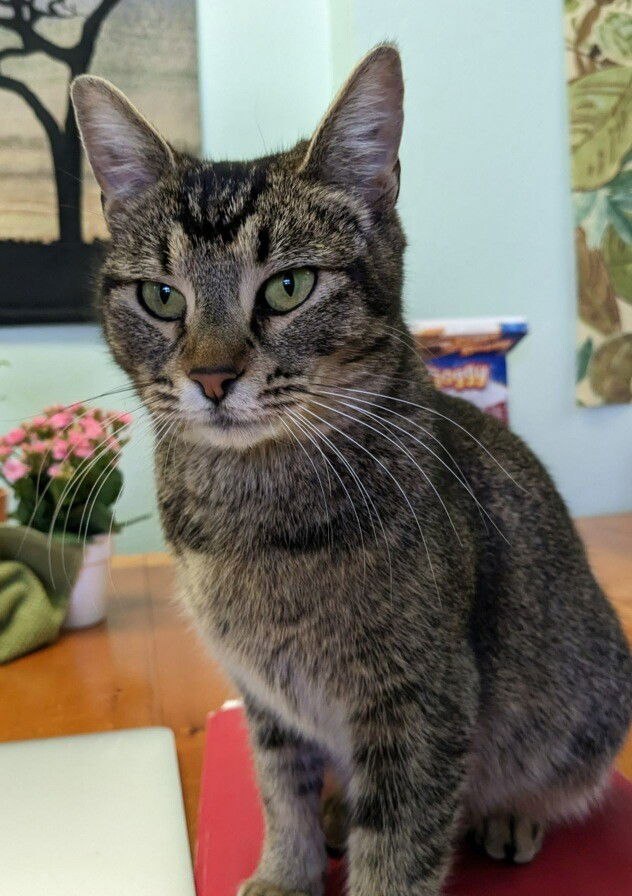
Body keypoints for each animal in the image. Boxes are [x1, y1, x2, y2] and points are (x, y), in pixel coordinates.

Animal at [71, 47, 628, 896]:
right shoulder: (266, 698)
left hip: (583, 699)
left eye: (289, 286)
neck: (251, 511)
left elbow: (398, 845)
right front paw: (287, 871)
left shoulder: (421, 701)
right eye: (162, 297)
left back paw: (511, 813)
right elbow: (281, 789)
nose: (211, 377)